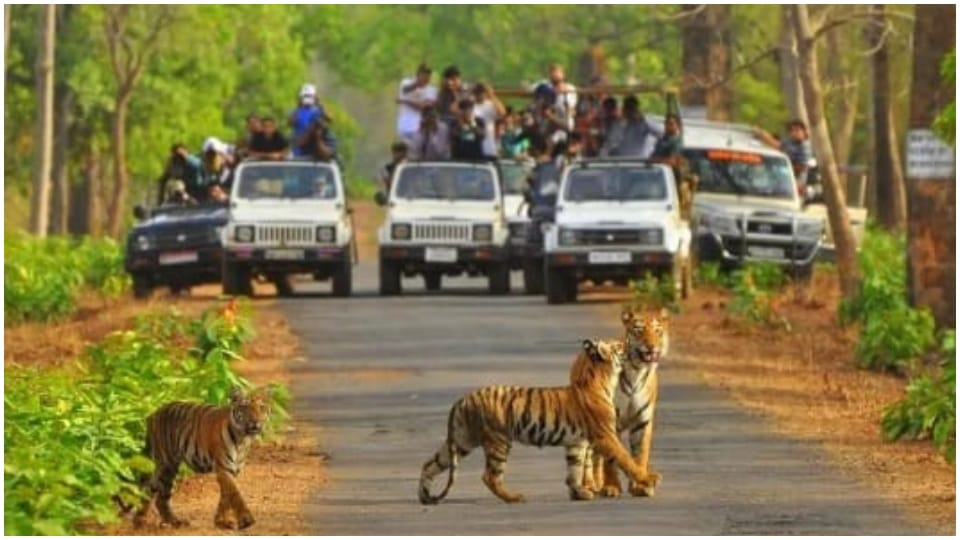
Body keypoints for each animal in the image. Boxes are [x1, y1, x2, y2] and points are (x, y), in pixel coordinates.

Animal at [132, 386, 271, 530]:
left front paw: (221, 521)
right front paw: (246, 519)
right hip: (165, 464)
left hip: (169, 467)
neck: (242, 439)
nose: (255, 422)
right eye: (244, 407)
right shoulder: (223, 467)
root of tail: (153, 414)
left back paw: (160, 521)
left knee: (155, 493)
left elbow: (225, 496)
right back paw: (153, 521)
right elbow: (234, 493)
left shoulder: (233, 470)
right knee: (153, 492)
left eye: (261, 407)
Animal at [418, 338, 652, 505]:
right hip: (498, 441)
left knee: (430, 464)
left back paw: (424, 496)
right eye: (619, 345)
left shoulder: (576, 443)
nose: (630, 344)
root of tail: (463, 399)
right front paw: (649, 479)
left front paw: (579, 493)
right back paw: (514, 498)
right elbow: (625, 458)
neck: (600, 379)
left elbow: (575, 469)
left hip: (461, 440)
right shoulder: (606, 435)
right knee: (490, 476)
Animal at [581, 308, 667, 498]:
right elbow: (611, 458)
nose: (651, 346)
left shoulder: (642, 421)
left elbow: (640, 454)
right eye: (639, 330)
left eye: (657, 331)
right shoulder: (609, 421)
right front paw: (611, 487)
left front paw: (641, 486)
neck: (637, 370)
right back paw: (591, 485)